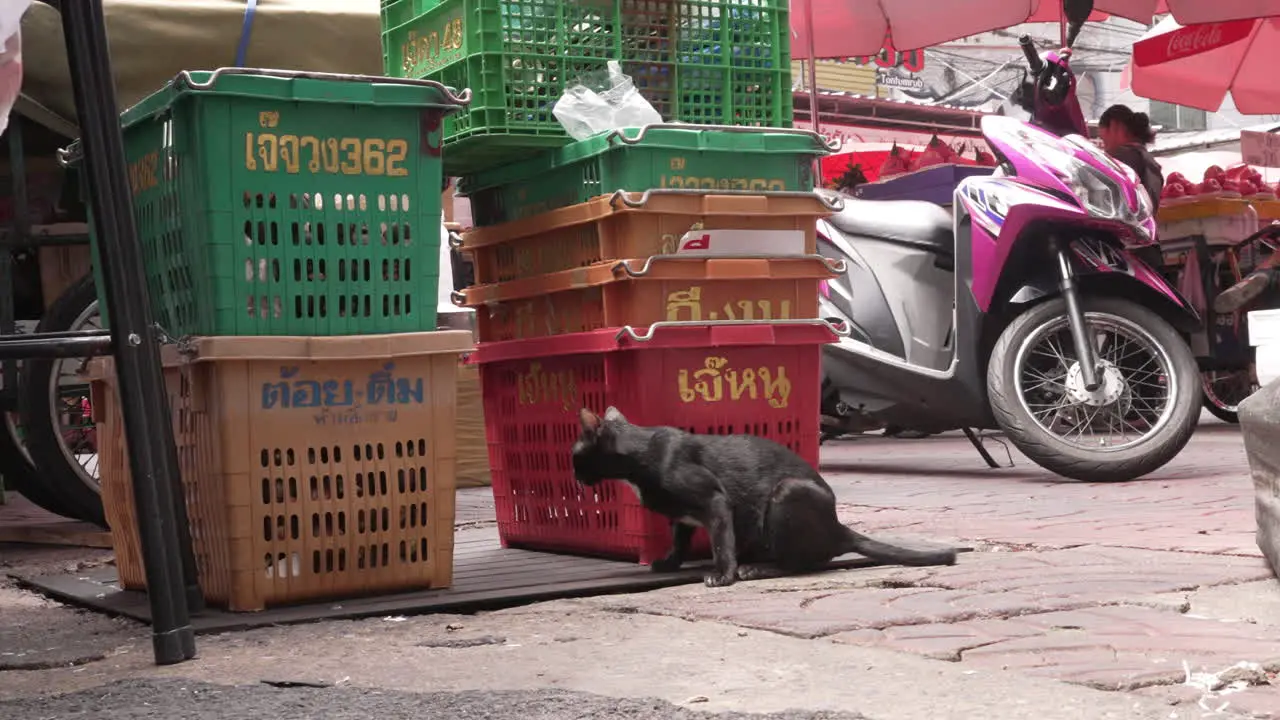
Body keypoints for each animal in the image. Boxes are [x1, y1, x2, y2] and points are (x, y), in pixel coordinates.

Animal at [576, 407, 957, 586]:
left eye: (574, 455)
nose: (575, 476)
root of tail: (839, 527)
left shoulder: (714, 500)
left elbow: (721, 543)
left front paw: (722, 575)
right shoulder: (681, 518)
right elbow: (679, 541)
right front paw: (669, 563)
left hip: (785, 494)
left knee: (799, 563)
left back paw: (755, 568)